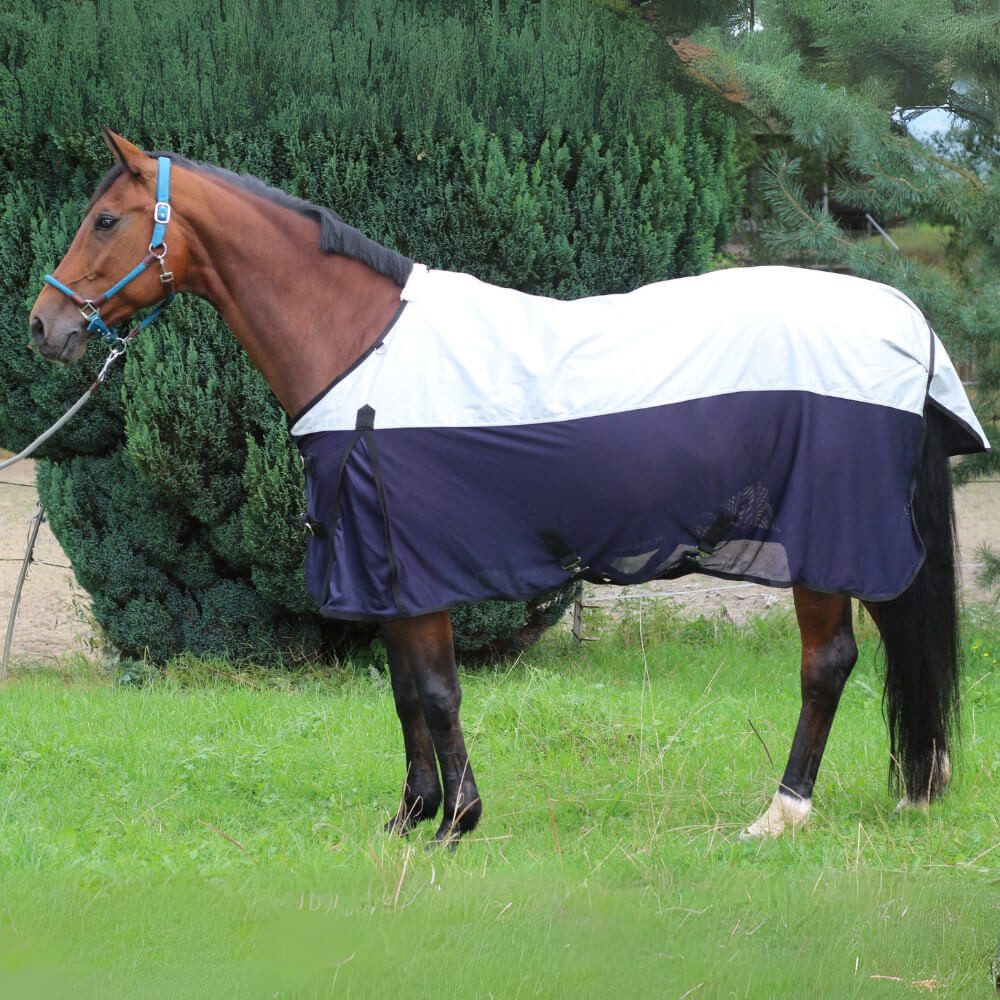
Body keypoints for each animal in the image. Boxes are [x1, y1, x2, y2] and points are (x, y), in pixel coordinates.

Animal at [29, 128, 989, 843]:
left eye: (106, 219)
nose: (45, 326)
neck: (362, 346)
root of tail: (903, 317)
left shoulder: (412, 560)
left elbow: (438, 688)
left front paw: (458, 821)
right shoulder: (384, 567)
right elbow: (404, 690)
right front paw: (411, 816)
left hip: (826, 537)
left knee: (829, 664)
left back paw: (782, 812)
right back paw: (917, 784)